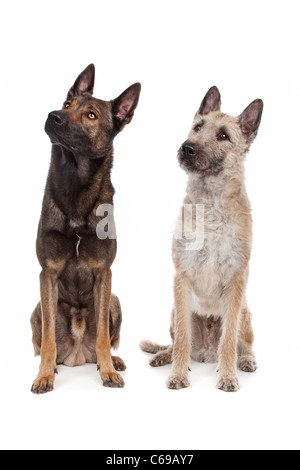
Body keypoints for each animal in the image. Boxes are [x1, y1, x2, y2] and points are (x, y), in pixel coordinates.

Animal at [31, 63, 141, 392]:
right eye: (67, 104)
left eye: (91, 115)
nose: (54, 115)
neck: (76, 189)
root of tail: (78, 355)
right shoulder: (48, 274)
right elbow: (49, 341)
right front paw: (43, 375)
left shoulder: (104, 274)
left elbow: (104, 335)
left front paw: (108, 371)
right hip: (38, 309)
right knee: (46, 340)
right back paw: (53, 366)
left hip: (115, 301)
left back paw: (111, 361)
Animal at [141, 86, 262, 392]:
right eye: (197, 127)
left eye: (224, 136)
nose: (188, 148)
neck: (210, 205)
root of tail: (206, 352)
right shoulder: (181, 277)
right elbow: (183, 340)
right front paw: (178, 374)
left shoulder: (236, 282)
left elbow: (229, 339)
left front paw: (229, 376)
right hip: (174, 311)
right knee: (175, 342)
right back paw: (164, 355)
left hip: (246, 311)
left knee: (245, 343)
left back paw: (246, 361)